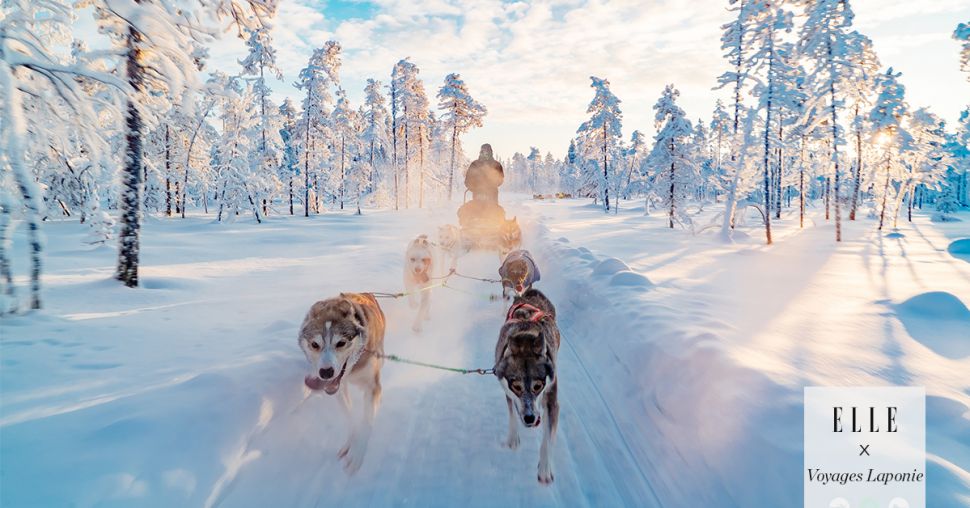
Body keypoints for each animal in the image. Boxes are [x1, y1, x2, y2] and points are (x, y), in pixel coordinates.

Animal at [298, 292, 386, 474]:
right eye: (315, 344)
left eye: (341, 343)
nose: (325, 372)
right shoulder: (338, 389)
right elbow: (350, 416)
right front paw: (351, 442)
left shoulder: (372, 386)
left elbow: (366, 422)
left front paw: (357, 453)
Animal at [492, 290, 560, 484]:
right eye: (516, 386)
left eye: (538, 386)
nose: (530, 418)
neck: (525, 340)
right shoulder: (508, 393)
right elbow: (512, 414)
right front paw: (512, 438)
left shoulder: (552, 397)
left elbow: (547, 438)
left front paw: (545, 468)